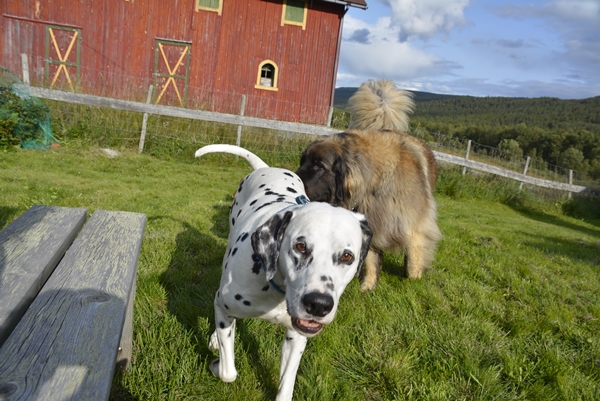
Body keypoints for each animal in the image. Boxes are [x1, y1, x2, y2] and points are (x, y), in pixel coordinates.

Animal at [193, 145, 370, 400]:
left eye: (347, 256)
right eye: (300, 246)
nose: (319, 304)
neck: (276, 287)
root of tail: (266, 168)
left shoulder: (296, 338)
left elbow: (286, 383)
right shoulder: (225, 306)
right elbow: (228, 372)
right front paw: (217, 363)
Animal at [296, 79, 440, 290]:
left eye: (319, 166)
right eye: (302, 162)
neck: (374, 183)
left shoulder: (413, 226)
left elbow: (413, 259)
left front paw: (414, 281)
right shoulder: (374, 224)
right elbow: (371, 260)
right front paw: (368, 287)